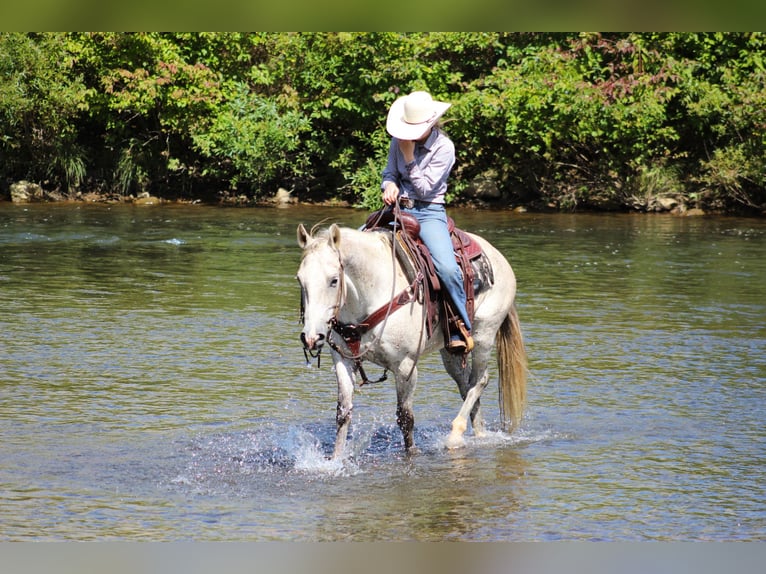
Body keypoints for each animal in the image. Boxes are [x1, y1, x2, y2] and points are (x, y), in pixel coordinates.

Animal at [296, 223, 532, 462]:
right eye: (300, 279)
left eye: (334, 280)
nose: (312, 337)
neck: (371, 292)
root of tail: (497, 256)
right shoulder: (343, 360)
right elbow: (343, 413)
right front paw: (335, 460)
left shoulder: (406, 366)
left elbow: (405, 417)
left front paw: (412, 454)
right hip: (451, 351)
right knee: (466, 386)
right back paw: (479, 435)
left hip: (484, 335)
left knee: (479, 381)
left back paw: (454, 436)